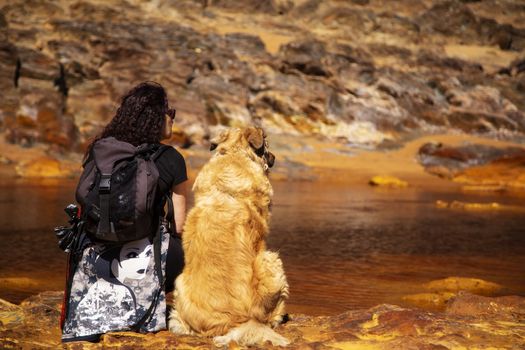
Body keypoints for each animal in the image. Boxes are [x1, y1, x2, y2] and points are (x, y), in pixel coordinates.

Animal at [169, 126, 288, 348]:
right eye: (267, 145)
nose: (275, 157)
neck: (234, 153)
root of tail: (236, 322)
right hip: (271, 259)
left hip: (179, 285)